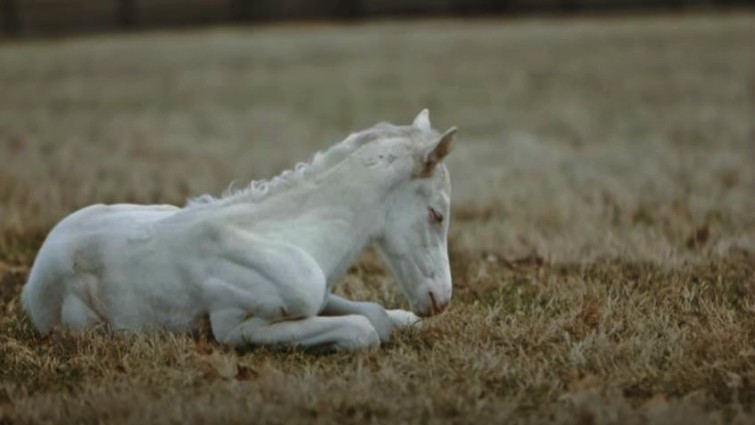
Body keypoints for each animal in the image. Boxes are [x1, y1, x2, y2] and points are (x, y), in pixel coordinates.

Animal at [23, 109, 458, 352]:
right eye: (436, 214)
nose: (441, 300)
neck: (290, 236)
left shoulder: (319, 295)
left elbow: (376, 315)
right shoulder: (237, 328)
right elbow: (363, 330)